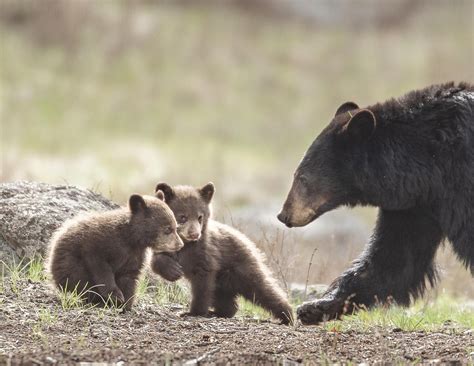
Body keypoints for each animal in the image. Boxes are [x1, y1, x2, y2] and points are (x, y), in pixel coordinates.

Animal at [46, 192, 183, 308]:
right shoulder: (99, 245)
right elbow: (101, 269)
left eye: (176, 227)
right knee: (77, 278)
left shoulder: (134, 255)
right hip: (68, 263)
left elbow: (129, 276)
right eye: (168, 229)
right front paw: (115, 296)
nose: (180, 244)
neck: (132, 238)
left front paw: (125, 303)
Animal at [150, 182, 294, 324]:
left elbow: (202, 284)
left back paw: (287, 315)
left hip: (242, 267)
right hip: (223, 279)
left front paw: (193, 312)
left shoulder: (205, 254)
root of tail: (248, 241)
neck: (186, 244)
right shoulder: (167, 244)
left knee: (262, 289)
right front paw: (173, 271)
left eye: (200, 216)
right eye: (183, 217)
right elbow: (156, 260)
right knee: (224, 297)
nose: (195, 234)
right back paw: (219, 312)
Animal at [278, 81, 474, 324]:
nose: (283, 215)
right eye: (297, 174)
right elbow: (394, 257)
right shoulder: (415, 203)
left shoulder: (459, 182)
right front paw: (316, 306)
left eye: (302, 178)